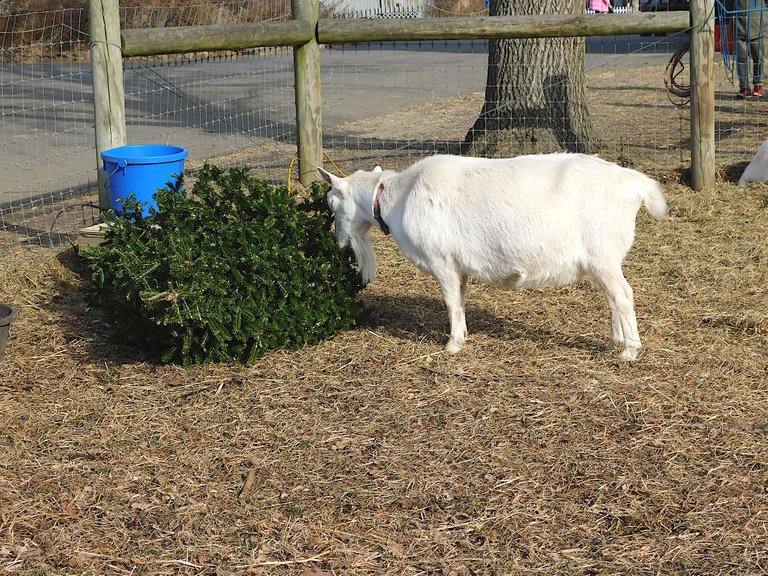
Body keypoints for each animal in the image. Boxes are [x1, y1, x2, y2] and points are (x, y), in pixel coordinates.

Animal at [318, 153, 664, 360]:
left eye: (331, 204)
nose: (338, 242)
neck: (397, 197)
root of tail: (636, 185)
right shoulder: (459, 267)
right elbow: (460, 299)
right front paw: (463, 334)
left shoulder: (442, 262)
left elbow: (450, 301)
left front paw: (452, 344)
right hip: (603, 261)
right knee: (613, 298)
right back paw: (613, 342)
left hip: (603, 255)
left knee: (623, 295)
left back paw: (629, 350)